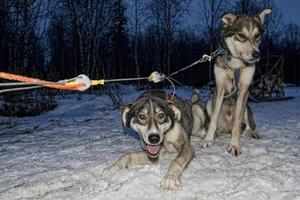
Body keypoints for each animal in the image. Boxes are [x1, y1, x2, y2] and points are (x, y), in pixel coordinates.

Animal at [202, 9, 272, 156]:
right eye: (241, 35)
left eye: (257, 36)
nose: (256, 55)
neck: (235, 65)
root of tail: (226, 127)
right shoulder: (219, 88)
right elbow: (213, 121)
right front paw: (208, 139)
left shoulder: (244, 90)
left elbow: (238, 124)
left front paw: (234, 145)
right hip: (209, 103)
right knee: (218, 124)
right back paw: (217, 132)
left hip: (246, 107)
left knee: (245, 124)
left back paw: (250, 132)